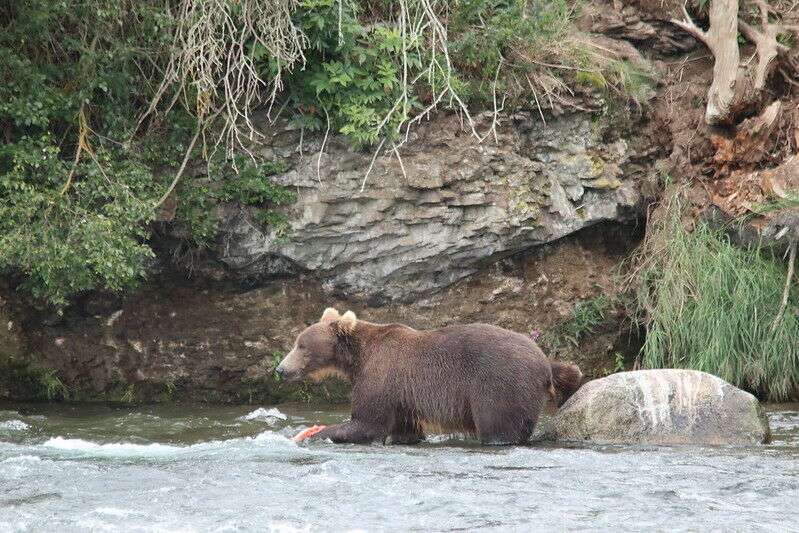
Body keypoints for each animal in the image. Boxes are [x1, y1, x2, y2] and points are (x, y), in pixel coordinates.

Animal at [276, 308, 583, 445]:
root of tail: (543, 361)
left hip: (501, 384)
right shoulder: (402, 396)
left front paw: (316, 432)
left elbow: (368, 422)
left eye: (301, 345)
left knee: (499, 426)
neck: (358, 357)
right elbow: (404, 429)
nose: (280, 369)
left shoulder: (381, 375)